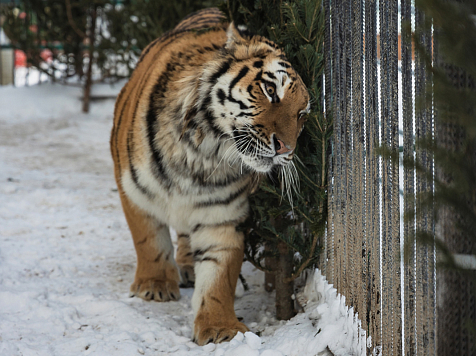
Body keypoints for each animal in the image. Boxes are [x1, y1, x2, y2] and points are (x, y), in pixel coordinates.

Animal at [112, 6, 312, 344]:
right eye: (271, 90)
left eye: (301, 115)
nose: (286, 149)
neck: (203, 154)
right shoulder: (134, 189)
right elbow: (148, 240)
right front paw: (154, 286)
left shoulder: (222, 215)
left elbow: (220, 274)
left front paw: (221, 328)